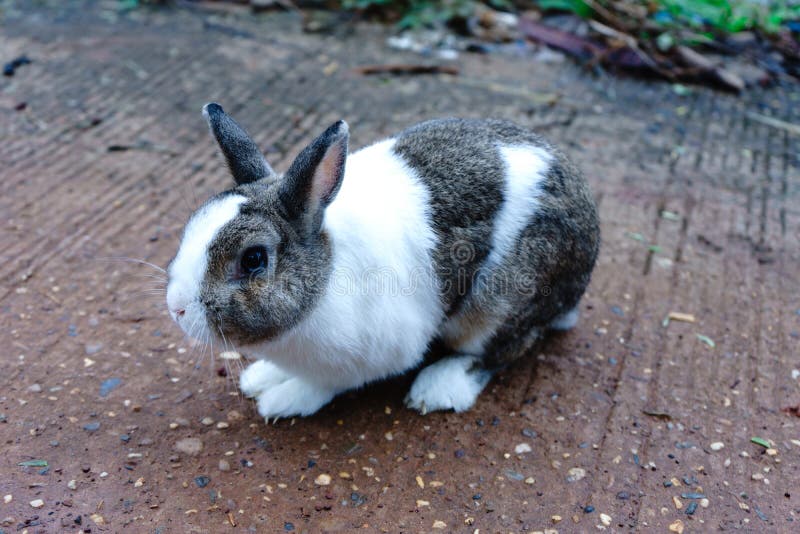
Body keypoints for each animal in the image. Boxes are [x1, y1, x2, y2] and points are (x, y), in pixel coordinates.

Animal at [166, 102, 600, 420]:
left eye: (254, 258)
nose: (177, 309)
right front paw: (262, 378)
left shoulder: (370, 354)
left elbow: (326, 383)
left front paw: (284, 400)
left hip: (503, 302)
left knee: (500, 350)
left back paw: (438, 388)